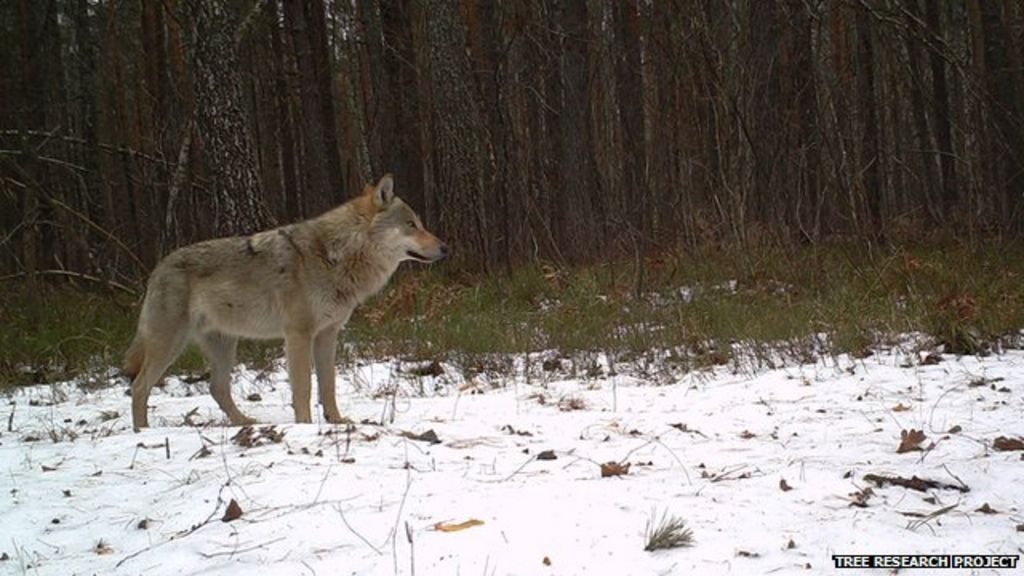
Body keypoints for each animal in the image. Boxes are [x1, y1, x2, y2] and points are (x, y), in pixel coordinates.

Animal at [122, 172, 444, 428]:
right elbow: (303, 387)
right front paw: (305, 426)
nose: (446, 247)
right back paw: (143, 431)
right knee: (139, 387)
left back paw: (245, 422)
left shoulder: (327, 335)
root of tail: (157, 269)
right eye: (411, 224)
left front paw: (337, 421)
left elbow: (328, 386)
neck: (335, 255)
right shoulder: (298, 335)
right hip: (170, 344)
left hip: (224, 345)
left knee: (217, 388)